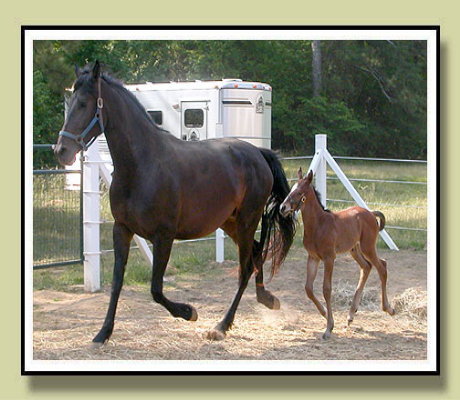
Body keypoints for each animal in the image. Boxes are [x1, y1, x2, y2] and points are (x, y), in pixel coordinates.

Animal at [54, 62, 294, 344]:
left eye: (83, 103)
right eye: (69, 103)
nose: (61, 150)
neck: (142, 165)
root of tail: (258, 153)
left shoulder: (164, 236)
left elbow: (156, 289)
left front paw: (189, 312)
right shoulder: (121, 229)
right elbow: (116, 283)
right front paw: (103, 333)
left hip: (247, 220)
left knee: (245, 268)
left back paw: (222, 325)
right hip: (230, 222)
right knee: (257, 252)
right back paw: (267, 298)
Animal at [280, 167, 396, 340]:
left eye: (299, 192)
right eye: (291, 189)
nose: (283, 207)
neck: (318, 224)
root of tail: (369, 212)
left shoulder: (329, 258)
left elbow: (326, 289)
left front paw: (329, 328)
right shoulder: (313, 257)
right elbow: (308, 288)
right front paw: (324, 313)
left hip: (367, 247)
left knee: (382, 266)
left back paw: (388, 308)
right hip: (354, 249)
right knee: (366, 267)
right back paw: (351, 314)